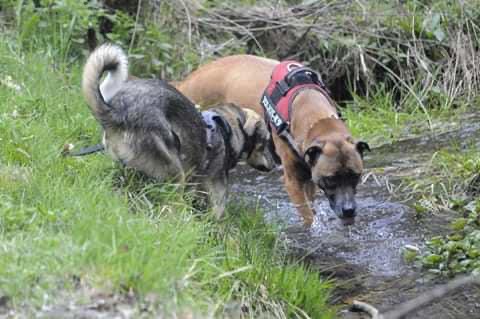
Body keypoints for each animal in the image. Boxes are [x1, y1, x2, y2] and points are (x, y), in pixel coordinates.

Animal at [80, 43, 272, 216]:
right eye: (265, 142)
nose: (274, 164)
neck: (227, 127)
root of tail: (117, 112)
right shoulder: (216, 194)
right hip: (174, 173)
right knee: (172, 205)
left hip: (131, 171)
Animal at [178, 55, 370, 226]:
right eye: (331, 179)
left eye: (356, 176)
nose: (349, 210)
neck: (314, 116)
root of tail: (185, 83)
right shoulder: (292, 183)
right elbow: (308, 217)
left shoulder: (309, 178)